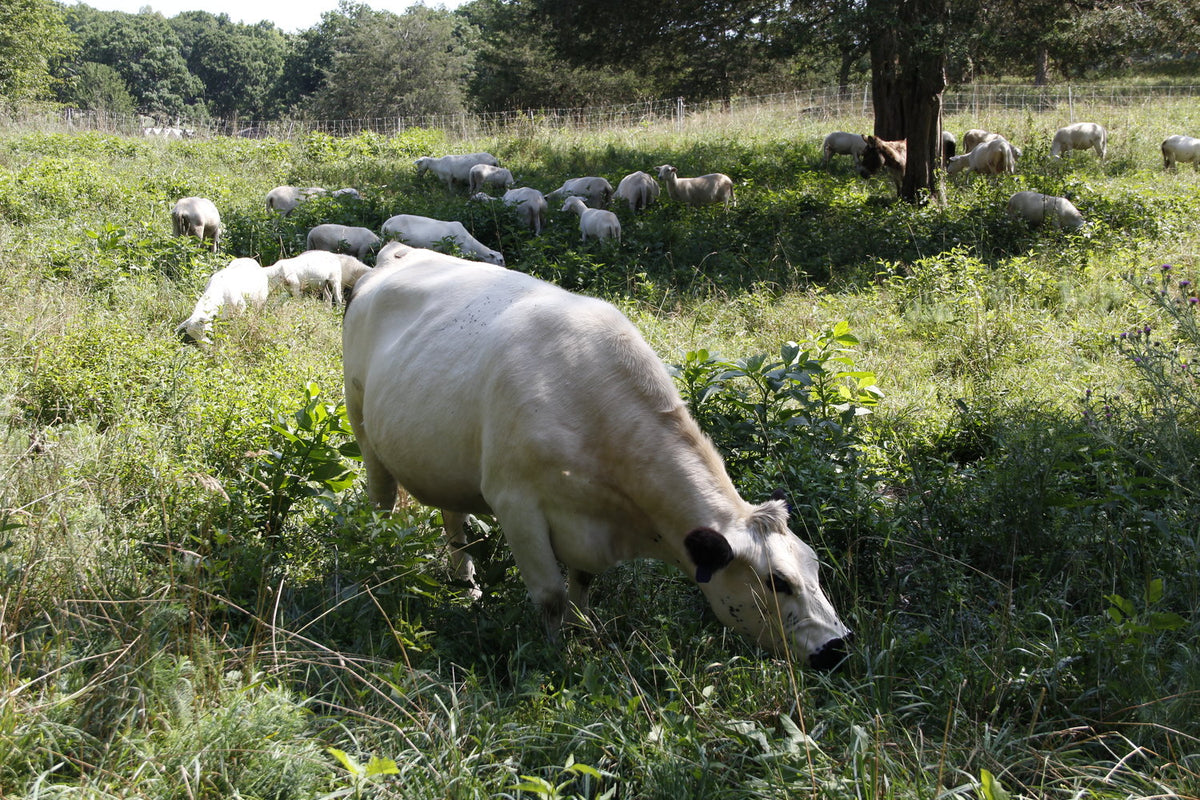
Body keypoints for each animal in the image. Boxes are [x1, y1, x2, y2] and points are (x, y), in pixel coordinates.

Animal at [348, 250, 854, 662]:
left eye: (816, 567)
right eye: (777, 581)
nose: (837, 647)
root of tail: (398, 253)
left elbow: (583, 585)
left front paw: (583, 632)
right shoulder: (515, 503)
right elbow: (550, 595)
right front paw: (557, 657)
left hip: (441, 458)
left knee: (453, 521)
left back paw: (465, 583)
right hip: (362, 427)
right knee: (381, 504)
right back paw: (381, 568)